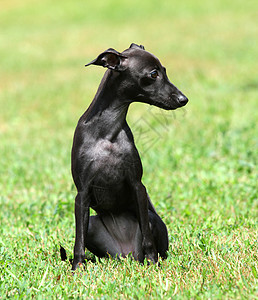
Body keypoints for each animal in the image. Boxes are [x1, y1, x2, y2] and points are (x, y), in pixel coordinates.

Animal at [70, 43, 187, 270]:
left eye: (165, 70)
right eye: (153, 74)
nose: (183, 99)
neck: (107, 133)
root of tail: (126, 253)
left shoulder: (137, 185)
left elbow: (148, 239)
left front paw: (152, 263)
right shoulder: (82, 193)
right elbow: (78, 239)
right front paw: (77, 268)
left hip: (150, 218)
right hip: (93, 225)